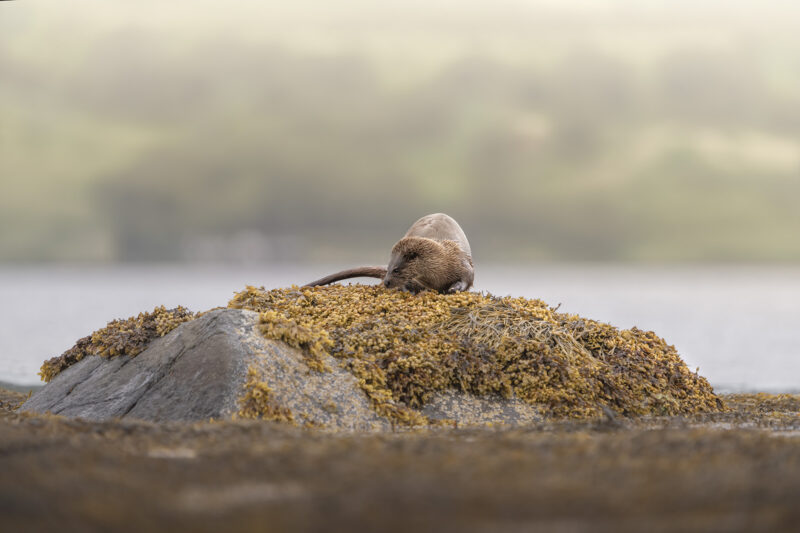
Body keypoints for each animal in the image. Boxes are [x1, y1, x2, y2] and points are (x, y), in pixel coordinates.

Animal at [304, 214, 472, 294]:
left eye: (396, 269)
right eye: (389, 268)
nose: (386, 282)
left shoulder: (462, 261)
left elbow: (467, 279)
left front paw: (454, 288)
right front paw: (407, 289)